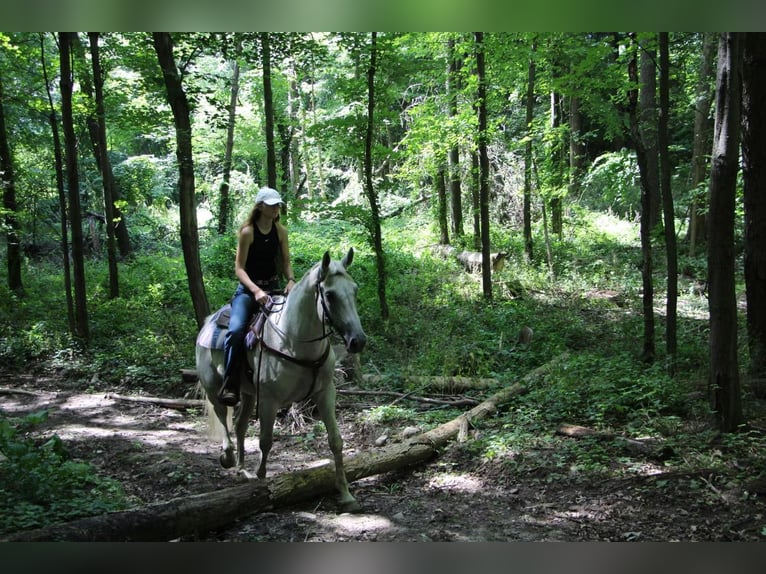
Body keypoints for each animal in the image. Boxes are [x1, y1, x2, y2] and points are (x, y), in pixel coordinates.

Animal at [196, 248, 368, 512]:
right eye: (329, 295)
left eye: (355, 290)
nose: (358, 341)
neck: (294, 340)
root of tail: (208, 322)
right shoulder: (269, 400)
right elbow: (266, 441)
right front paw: (263, 483)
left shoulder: (325, 393)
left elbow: (336, 441)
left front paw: (346, 495)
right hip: (215, 388)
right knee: (222, 415)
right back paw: (228, 457)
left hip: (249, 394)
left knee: (240, 425)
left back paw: (242, 469)